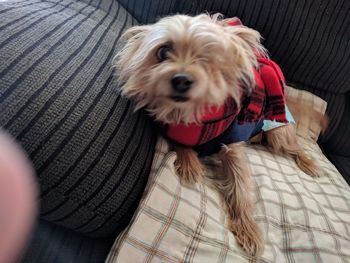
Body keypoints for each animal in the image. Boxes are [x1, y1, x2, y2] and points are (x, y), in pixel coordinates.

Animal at [115, 13, 320, 258]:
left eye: (210, 55)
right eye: (163, 51)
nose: (181, 79)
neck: (194, 115)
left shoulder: (233, 144)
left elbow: (239, 186)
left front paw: (247, 228)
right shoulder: (172, 129)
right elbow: (182, 143)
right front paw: (190, 164)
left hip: (279, 134)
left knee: (295, 147)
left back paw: (309, 163)